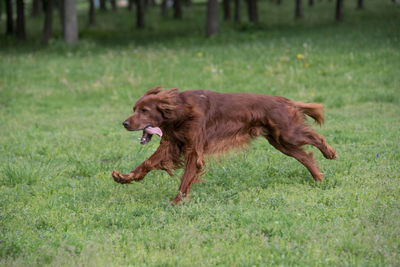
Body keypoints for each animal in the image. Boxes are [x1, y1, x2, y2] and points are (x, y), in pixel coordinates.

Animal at [111, 87, 336, 205]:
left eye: (144, 110)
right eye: (134, 108)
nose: (124, 123)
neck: (180, 111)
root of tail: (287, 101)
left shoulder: (194, 151)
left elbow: (185, 180)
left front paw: (176, 202)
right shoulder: (172, 145)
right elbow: (147, 164)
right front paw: (124, 177)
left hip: (288, 134)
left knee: (316, 138)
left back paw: (330, 153)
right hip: (281, 142)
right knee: (305, 156)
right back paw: (318, 178)